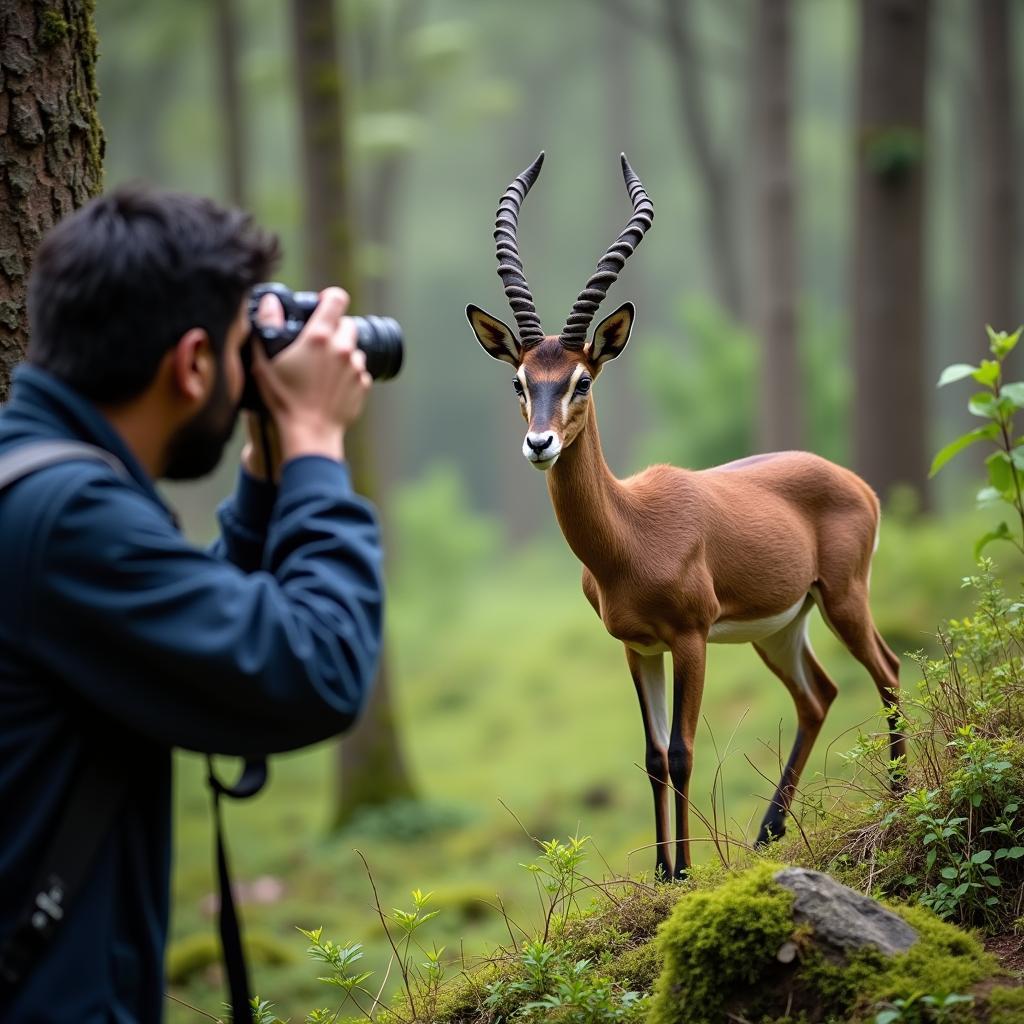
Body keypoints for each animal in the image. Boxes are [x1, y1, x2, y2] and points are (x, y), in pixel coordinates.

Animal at [464, 151, 905, 880]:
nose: (539, 444)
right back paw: (767, 833)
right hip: (779, 629)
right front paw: (662, 873)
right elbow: (649, 757)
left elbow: (681, 751)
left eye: (582, 380)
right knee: (817, 696)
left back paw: (898, 798)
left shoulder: (691, 640)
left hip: (844, 597)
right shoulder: (637, 646)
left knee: (889, 672)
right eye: (520, 380)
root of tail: (853, 482)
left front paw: (686, 873)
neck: (629, 536)